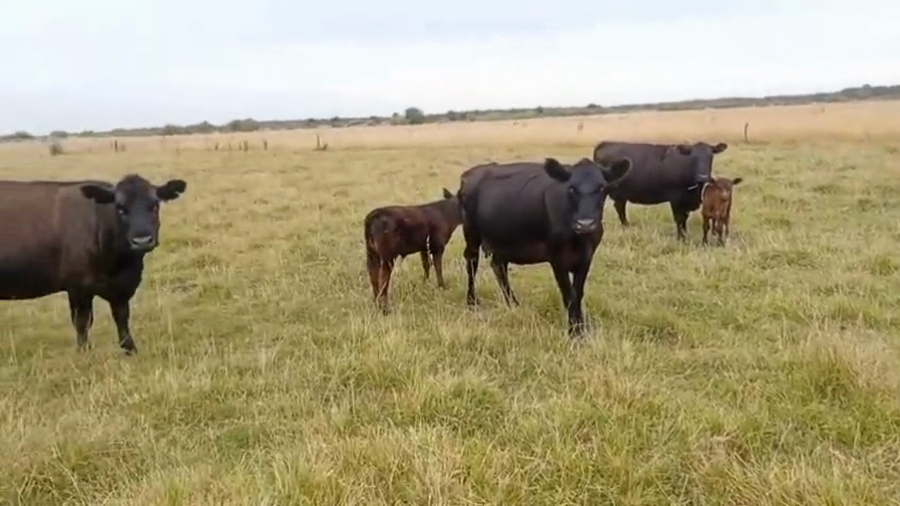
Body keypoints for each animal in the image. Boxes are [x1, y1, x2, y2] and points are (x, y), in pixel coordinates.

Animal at [0, 174, 187, 354]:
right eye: (120, 208)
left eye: (155, 206)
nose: (141, 241)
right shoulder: (77, 286)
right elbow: (82, 322)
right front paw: (84, 351)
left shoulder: (121, 287)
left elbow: (121, 317)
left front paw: (129, 348)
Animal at [457, 156, 633, 337]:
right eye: (571, 188)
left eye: (602, 187)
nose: (585, 224)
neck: (578, 239)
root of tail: (470, 174)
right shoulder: (557, 258)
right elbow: (569, 294)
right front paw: (574, 332)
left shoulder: (587, 257)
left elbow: (578, 294)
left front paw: (581, 328)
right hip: (471, 232)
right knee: (472, 262)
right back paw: (472, 302)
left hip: (502, 239)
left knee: (498, 266)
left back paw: (513, 304)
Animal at [592, 140, 728, 241]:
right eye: (693, 157)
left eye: (710, 156)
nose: (703, 176)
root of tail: (606, 143)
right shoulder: (675, 198)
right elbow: (679, 218)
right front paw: (680, 238)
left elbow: (684, 218)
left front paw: (685, 234)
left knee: (620, 207)